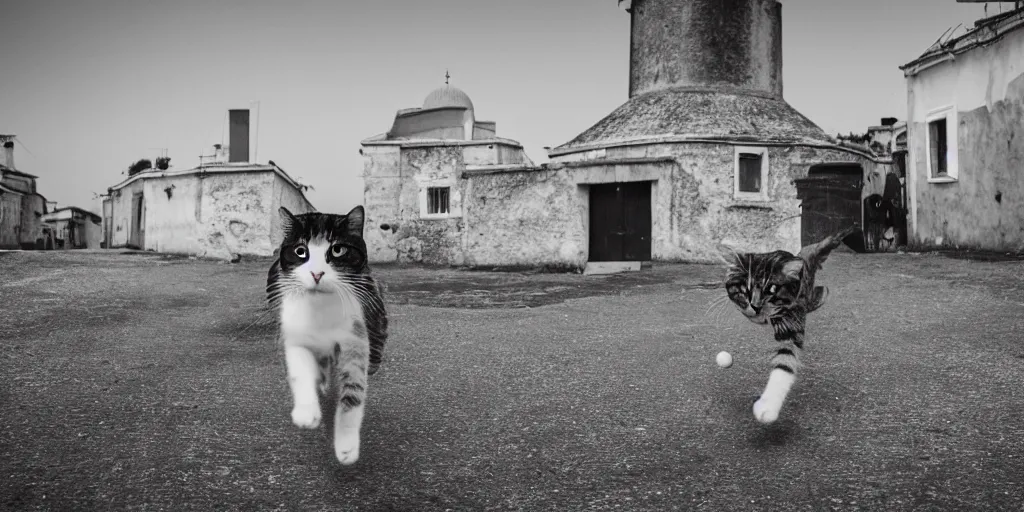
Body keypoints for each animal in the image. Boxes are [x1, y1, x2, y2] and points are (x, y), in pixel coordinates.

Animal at [264, 204, 387, 464]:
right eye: (300, 251)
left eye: (338, 250)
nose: (317, 274)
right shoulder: (294, 329)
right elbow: (300, 369)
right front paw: (306, 412)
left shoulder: (354, 334)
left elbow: (353, 387)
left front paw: (346, 444)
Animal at [724, 227, 860, 423]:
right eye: (744, 288)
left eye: (771, 289)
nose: (755, 306)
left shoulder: (792, 322)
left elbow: (785, 360)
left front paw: (768, 406)